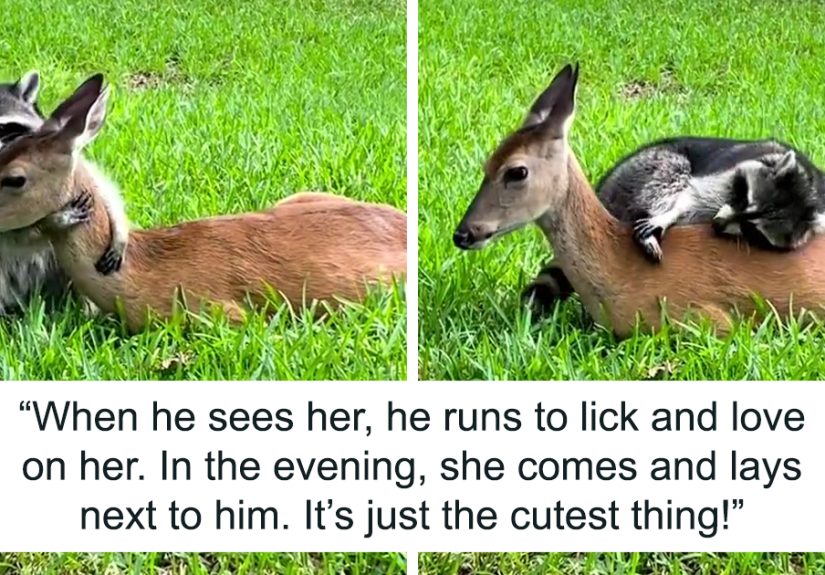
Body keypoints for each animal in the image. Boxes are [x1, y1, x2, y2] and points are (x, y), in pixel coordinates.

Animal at [597, 137, 825, 262]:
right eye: (743, 199)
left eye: (752, 230)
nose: (717, 223)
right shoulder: (730, 169)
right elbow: (694, 195)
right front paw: (669, 215)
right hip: (645, 165)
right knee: (672, 169)